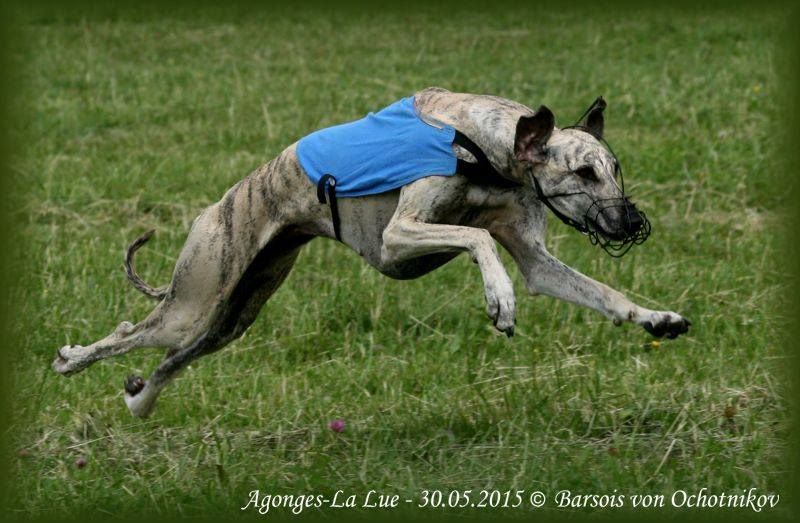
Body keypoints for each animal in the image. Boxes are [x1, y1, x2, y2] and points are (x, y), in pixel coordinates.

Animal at [50, 88, 692, 420]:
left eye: (615, 169)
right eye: (583, 172)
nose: (632, 222)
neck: (484, 150)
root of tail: (220, 202)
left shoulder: (533, 253)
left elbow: (600, 291)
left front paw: (658, 318)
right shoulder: (398, 237)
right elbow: (479, 239)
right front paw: (499, 299)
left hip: (236, 312)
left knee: (173, 355)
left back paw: (140, 400)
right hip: (198, 294)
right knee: (133, 330)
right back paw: (72, 359)